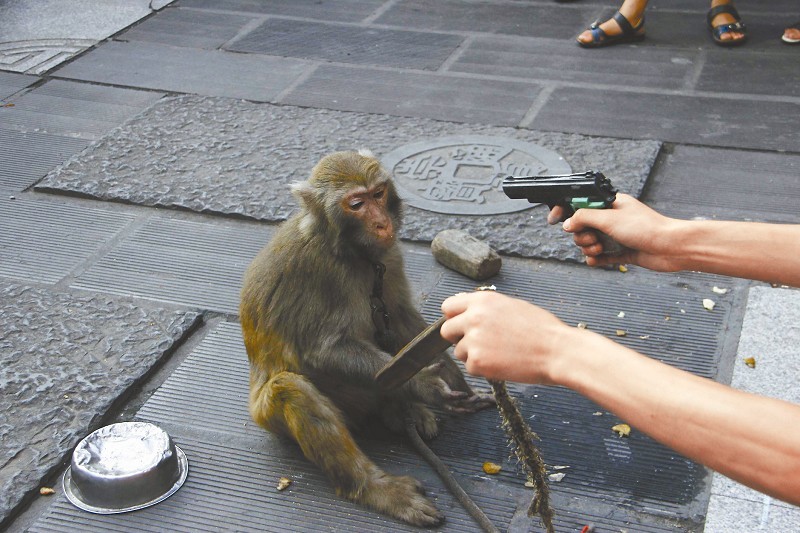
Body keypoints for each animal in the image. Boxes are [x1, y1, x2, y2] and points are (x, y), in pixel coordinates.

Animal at [241, 151, 496, 528]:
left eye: (378, 194)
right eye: (356, 204)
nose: (381, 223)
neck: (350, 252)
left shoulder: (388, 256)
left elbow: (403, 318)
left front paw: (455, 383)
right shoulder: (318, 269)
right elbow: (324, 351)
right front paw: (423, 385)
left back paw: (404, 411)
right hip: (275, 415)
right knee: (292, 389)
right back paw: (374, 488)